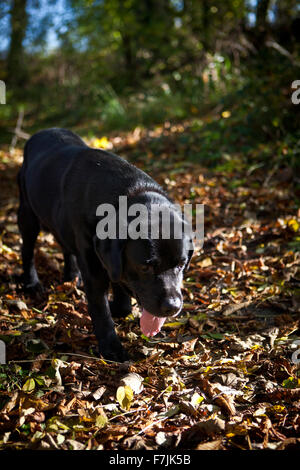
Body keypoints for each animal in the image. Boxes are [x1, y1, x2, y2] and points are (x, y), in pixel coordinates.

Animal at [17, 127, 195, 360]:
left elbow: (120, 288)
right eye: (146, 267)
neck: (128, 194)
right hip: (27, 214)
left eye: (181, 265)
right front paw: (112, 348)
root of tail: (43, 131)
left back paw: (71, 277)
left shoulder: (111, 258)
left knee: (65, 247)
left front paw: (118, 307)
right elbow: (101, 309)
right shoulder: (94, 264)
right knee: (27, 249)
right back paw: (31, 283)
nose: (172, 307)